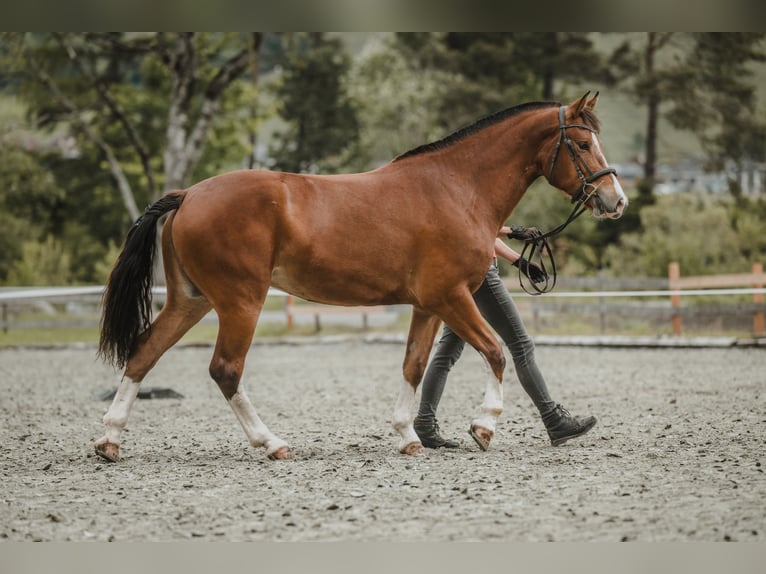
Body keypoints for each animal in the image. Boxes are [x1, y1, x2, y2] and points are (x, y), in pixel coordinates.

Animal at [96, 91, 627, 462]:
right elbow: (496, 352)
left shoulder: (428, 305)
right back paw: (272, 444)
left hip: (191, 300)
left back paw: (109, 441)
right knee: (225, 369)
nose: (615, 200)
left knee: (143, 353)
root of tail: (188, 195)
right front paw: (483, 427)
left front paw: (409, 437)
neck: (458, 188)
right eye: (583, 144)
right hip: (240, 302)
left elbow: (415, 366)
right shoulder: (451, 296)